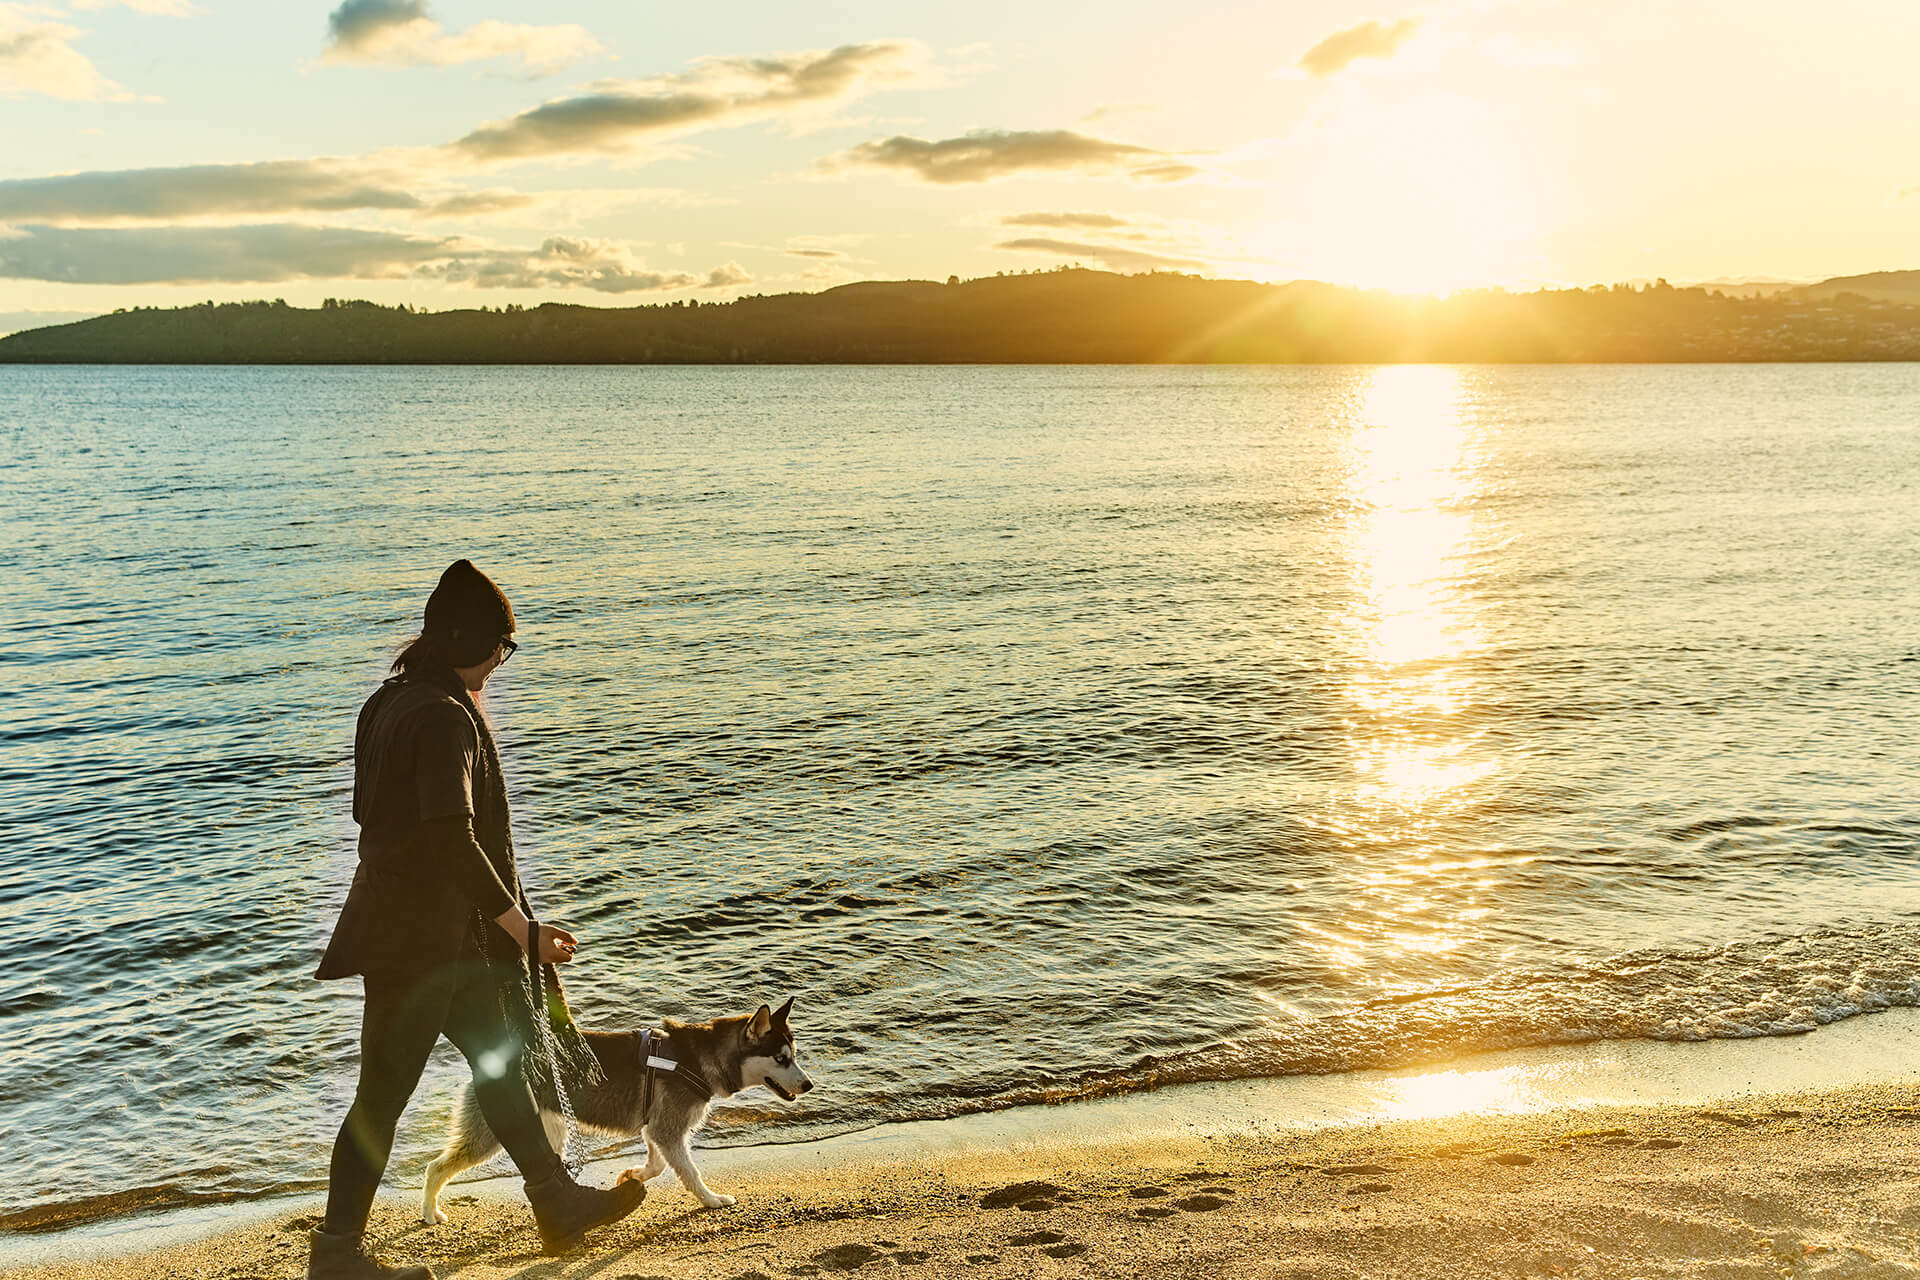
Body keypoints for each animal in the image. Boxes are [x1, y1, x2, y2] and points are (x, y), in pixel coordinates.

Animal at [420, 997, 810, 1228]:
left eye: (794, 1055)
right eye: (781, 1059)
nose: (808, 1085)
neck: (696, 1058)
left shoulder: (655, 1128)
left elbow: (656, 1164)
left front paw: (632, 1174)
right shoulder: (668, 1129)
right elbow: (691, 1173)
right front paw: (712, 1200)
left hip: (549, 1129)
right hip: (491, 1133)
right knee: (435, 1167)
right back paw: (428, 1212)